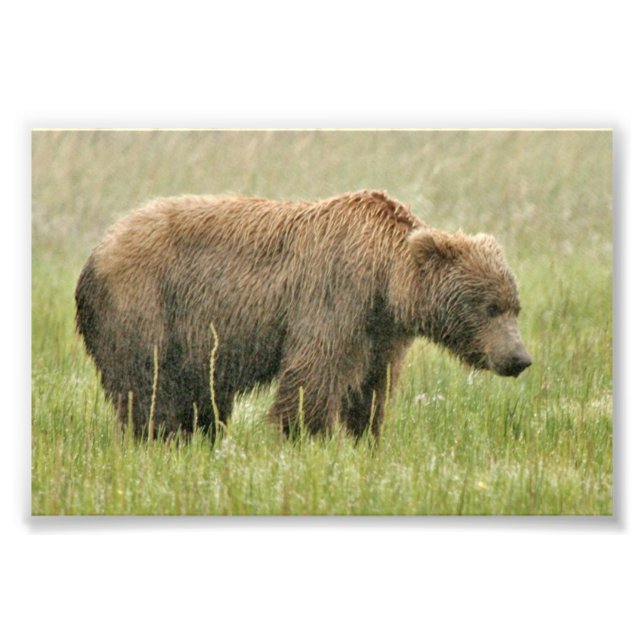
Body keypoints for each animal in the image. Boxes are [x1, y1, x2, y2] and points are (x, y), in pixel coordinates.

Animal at [75, 190, 531, 439]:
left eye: (514, 306)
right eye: (489, 306)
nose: (519, 358)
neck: (386, 282)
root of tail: (97, 251)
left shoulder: (380, 334)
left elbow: (372, 390)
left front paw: (366, 438)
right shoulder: (335, 297)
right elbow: (313, 377)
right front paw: (304, 437)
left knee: (201, 395)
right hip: (146, 303)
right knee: (147, 384)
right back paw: (159, 438)